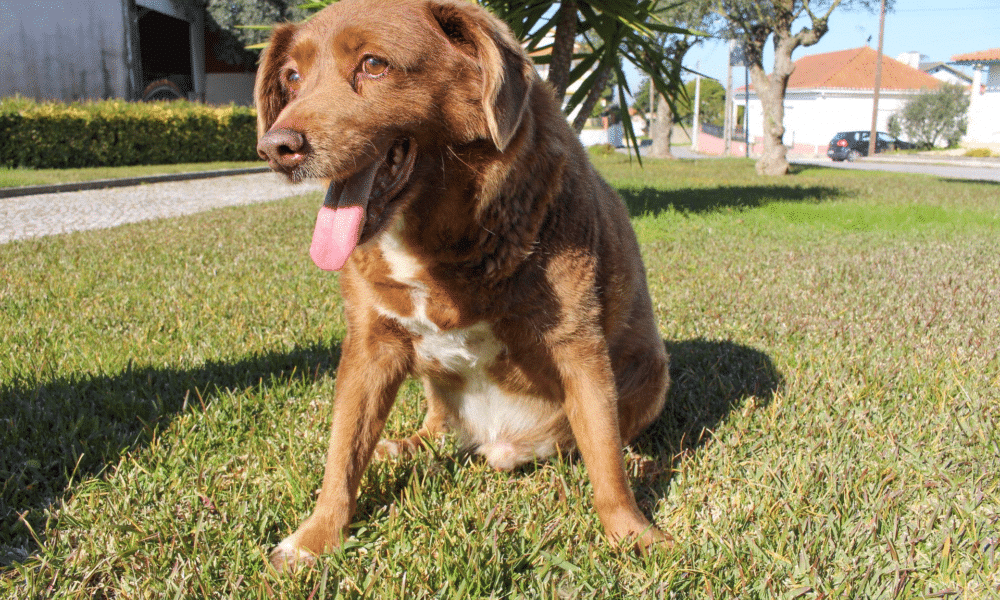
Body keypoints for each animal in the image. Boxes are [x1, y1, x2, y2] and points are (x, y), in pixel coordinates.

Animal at [254, 0, 668, 568]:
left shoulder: (578, 345)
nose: (276, 147)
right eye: (292, 78)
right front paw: (316, 537)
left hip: (652, 375)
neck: (435, 241)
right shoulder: (370, 346)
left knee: (602, 438)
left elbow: (604, 459)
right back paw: (402, 445)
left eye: (374, 65)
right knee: (434, 428)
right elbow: (341, 452)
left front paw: (633, 534)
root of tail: (498, 440)